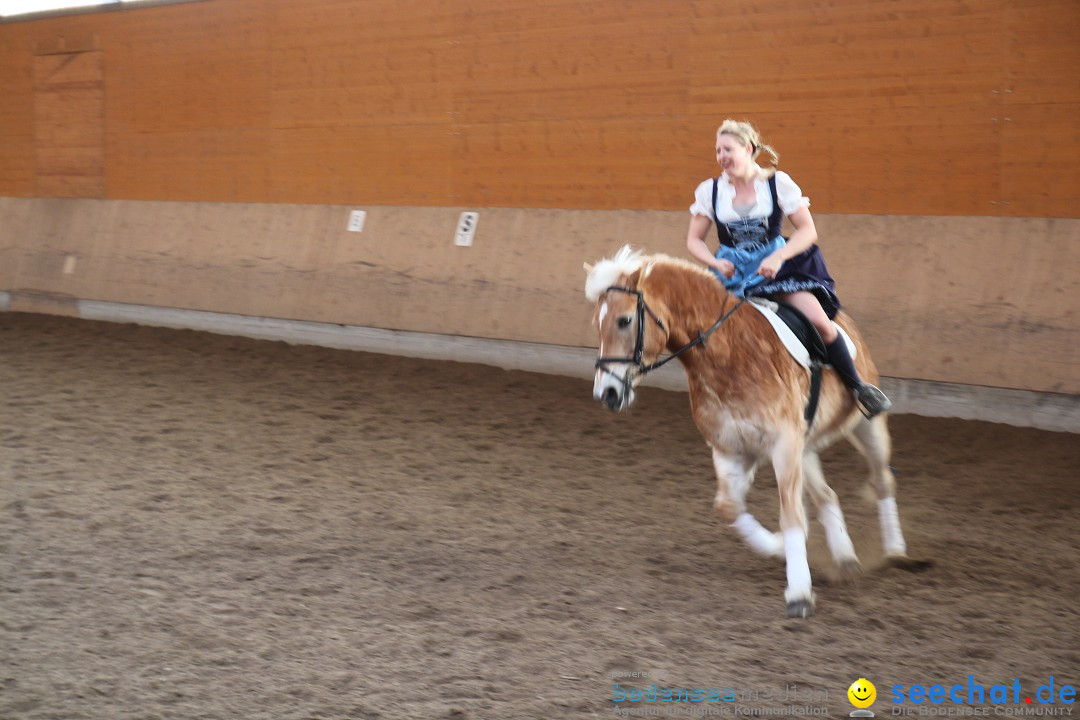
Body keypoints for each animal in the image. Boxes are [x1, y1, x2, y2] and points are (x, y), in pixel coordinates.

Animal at [583, 246, 920, 621]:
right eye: (598, 323)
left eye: (624, 321)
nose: (607, 394)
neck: (728, 356)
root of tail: (844, 320)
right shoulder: (728, 447)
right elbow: (728, 507)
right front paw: (777, 546)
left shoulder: (783, 445)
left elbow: (790, 514)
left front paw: (799, 592)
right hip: (805, 447)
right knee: (826, 496)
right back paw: (846, 560)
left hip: (865, 427)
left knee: (881, 479)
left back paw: (895, 552)